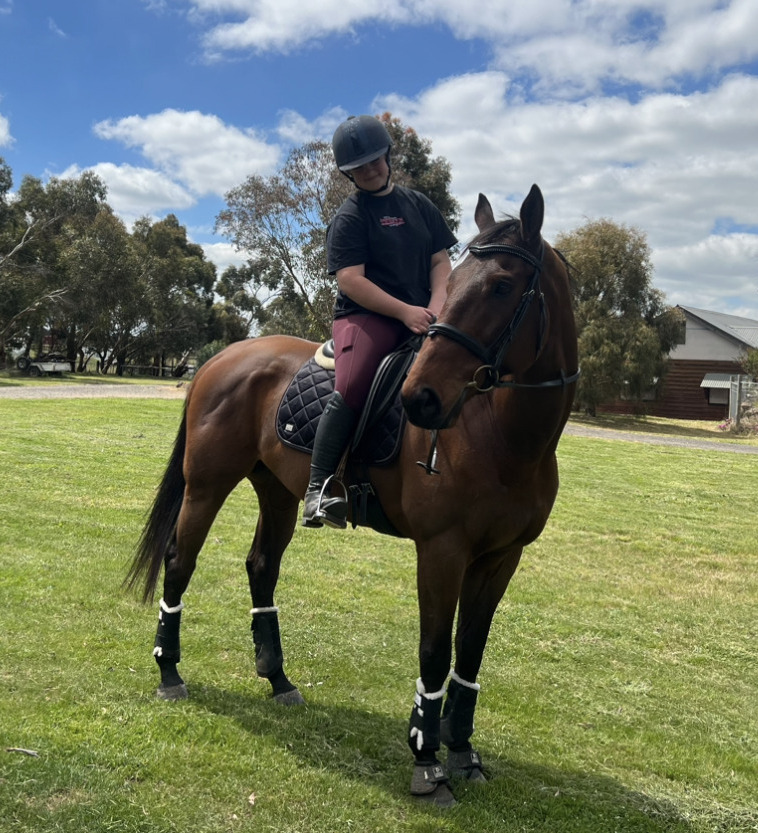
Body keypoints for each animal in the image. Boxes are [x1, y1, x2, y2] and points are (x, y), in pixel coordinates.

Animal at [126, 184, 578, 807]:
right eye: (458, 280)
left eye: (501, 286)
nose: (421, 398)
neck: (500, 434)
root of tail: (224, 355)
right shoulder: (442, 551)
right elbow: (434, 650)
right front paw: (427, 760)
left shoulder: (501, 557)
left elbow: (470, 651)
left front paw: (463, 751)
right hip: (208, 484)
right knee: (179, 560)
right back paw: (169, 672)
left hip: (279, 491)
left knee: (261, 565)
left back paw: (278, 678)